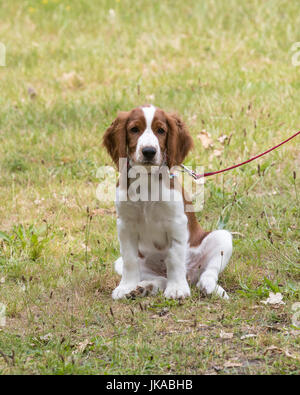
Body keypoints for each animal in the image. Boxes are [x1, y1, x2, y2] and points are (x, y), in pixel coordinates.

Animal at [103, 105, 232, 300]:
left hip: (222, 237)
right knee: (160, 279)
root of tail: (190, 275)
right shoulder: (125, 224)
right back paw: (145, 287)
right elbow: (130, 260)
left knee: (207, 273)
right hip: (125, 263)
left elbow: (174, 258)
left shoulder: (176, 222)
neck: (147, 179)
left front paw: (177, 288)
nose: (149, 151)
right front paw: (126, 287)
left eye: (161, 130)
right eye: (134, 129)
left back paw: (210, 288)